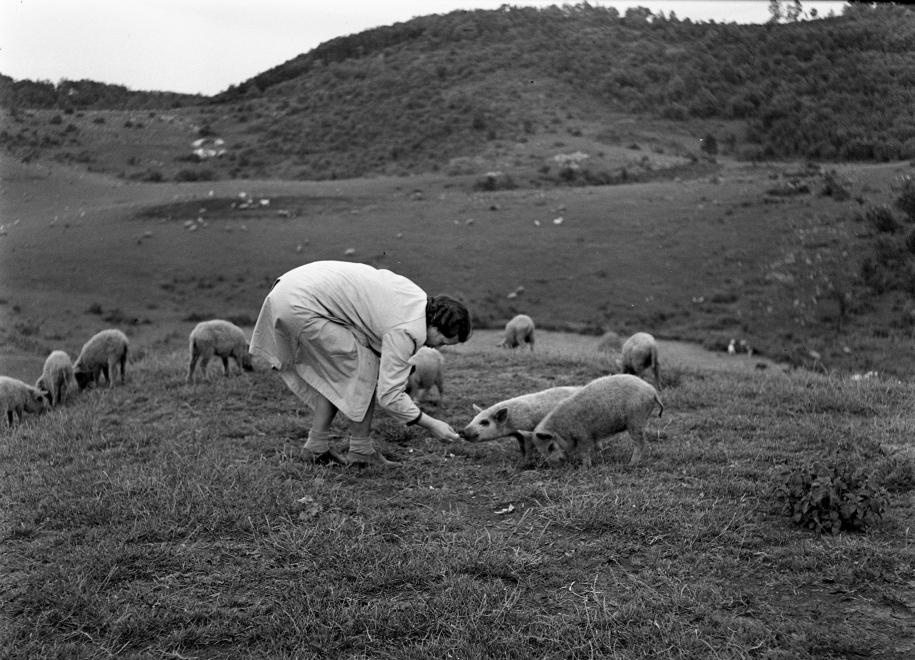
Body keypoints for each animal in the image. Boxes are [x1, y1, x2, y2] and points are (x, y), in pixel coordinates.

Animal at [520, 376, 660, 470]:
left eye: (550, 446)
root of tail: (652, 390)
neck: (562, 428)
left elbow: (585, 451)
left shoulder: (583, 434)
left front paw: (584, 468)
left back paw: (630, 464)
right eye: (540, 451)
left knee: (640, 443)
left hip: (636, 420)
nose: (555, 466)